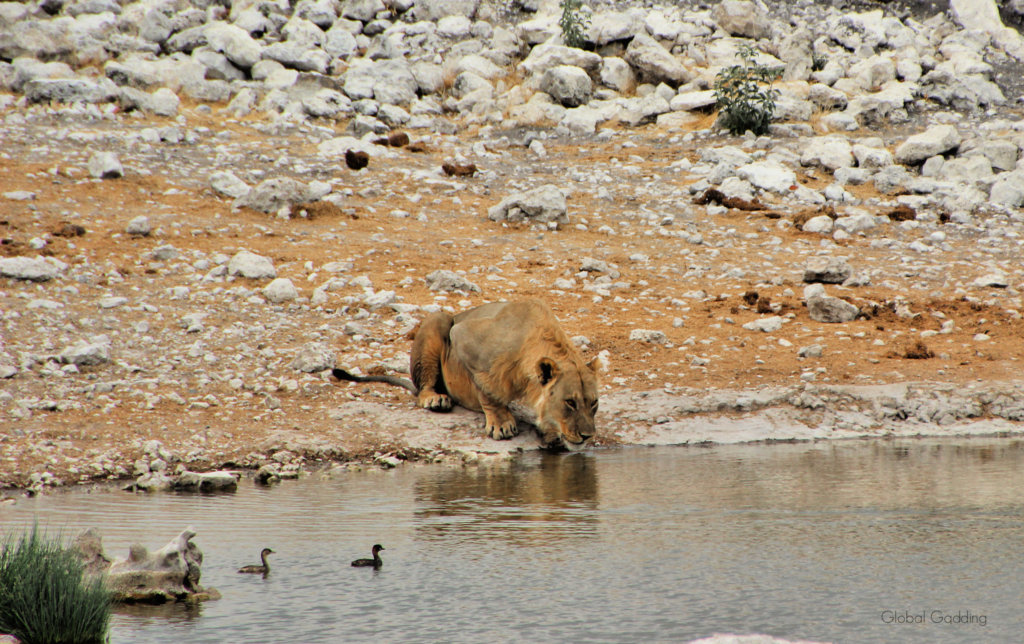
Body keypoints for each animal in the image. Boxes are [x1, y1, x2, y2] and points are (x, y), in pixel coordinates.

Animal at [333, 299, 600, 450]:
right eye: (570, 402)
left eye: (594, 403)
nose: (588, 436)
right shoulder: (464, 336)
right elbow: (487, 390)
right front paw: (501, 423)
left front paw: (550, 433)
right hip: (440, 320)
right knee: (423, 389)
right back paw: (436, 399)